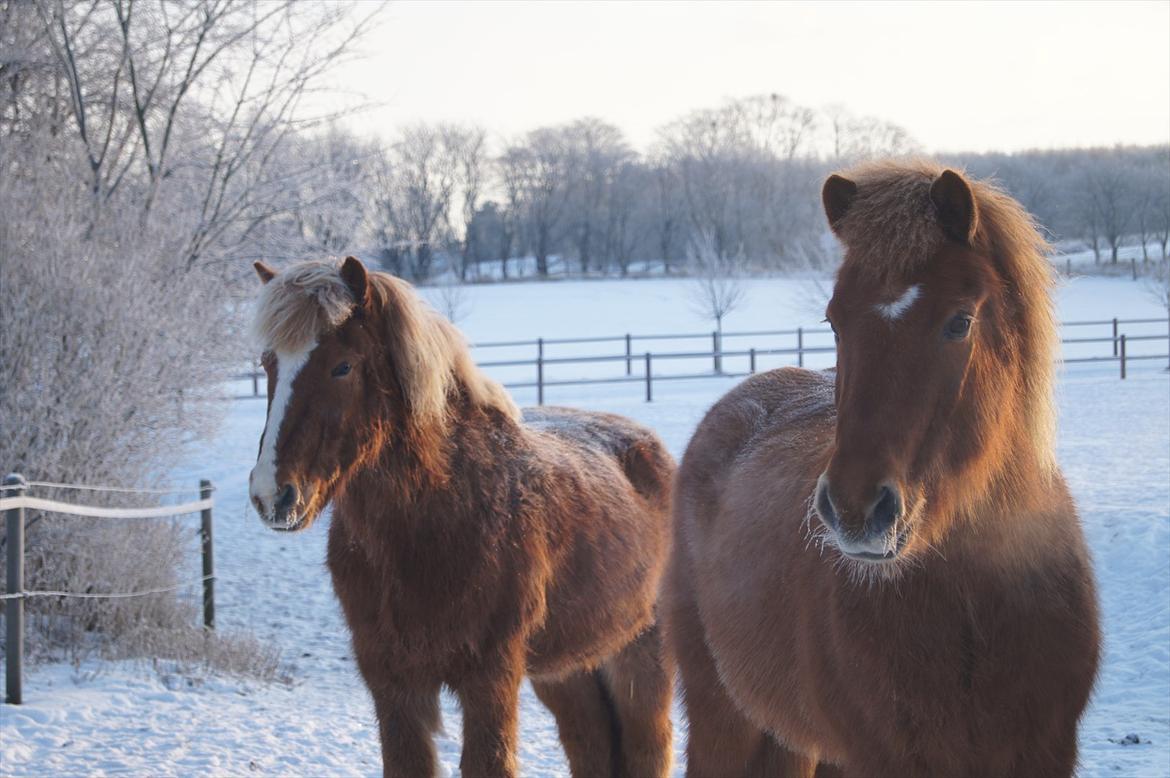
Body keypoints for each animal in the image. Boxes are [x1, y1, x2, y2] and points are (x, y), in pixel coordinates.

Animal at [246, 257, 678, 772]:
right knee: (590, 743)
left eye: (342, 366)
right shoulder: (392, 684)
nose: (272, 495)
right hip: (567, 668)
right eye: (268, 364)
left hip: (640, 656)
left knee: (648, 747)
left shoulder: (490, 678)